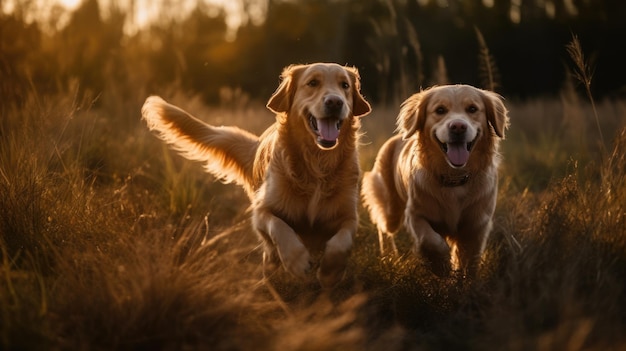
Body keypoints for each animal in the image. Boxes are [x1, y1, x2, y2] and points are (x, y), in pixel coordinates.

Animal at [141, 64, 370, 288]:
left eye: (345, 85)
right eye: (313, 83)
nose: (335, 102)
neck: (317, 163)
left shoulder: (349, 215)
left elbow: (342, 241)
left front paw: (330, 272)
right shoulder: (261, 211)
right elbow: (279, 227)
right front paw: (297, 262)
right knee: (270, 257)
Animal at [360, 85, 508, 278]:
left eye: (472, 109)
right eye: (440, 110)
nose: (458, 126)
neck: (454, 178)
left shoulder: (477, 224)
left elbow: (469, 260)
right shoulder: (415, 214)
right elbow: (431, 241)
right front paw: (441, 266)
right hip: (390, 208)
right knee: (384, 227)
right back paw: (389, 255)